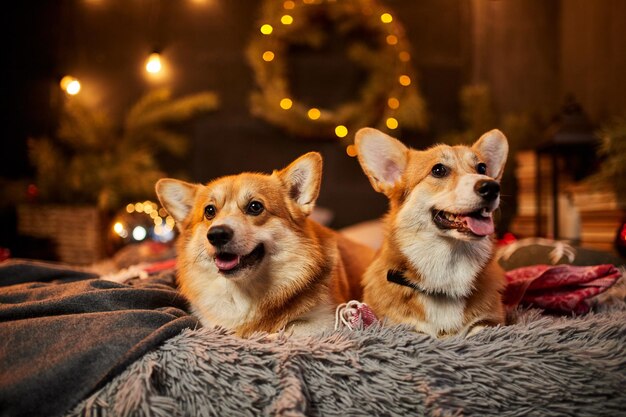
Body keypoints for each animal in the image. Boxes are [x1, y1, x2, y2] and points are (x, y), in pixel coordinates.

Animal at [155, 151, 372, 336]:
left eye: (255, 207)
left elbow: (287, 330)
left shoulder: (325, 320)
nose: (216, 234)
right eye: (209, 211)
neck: (244, 292)